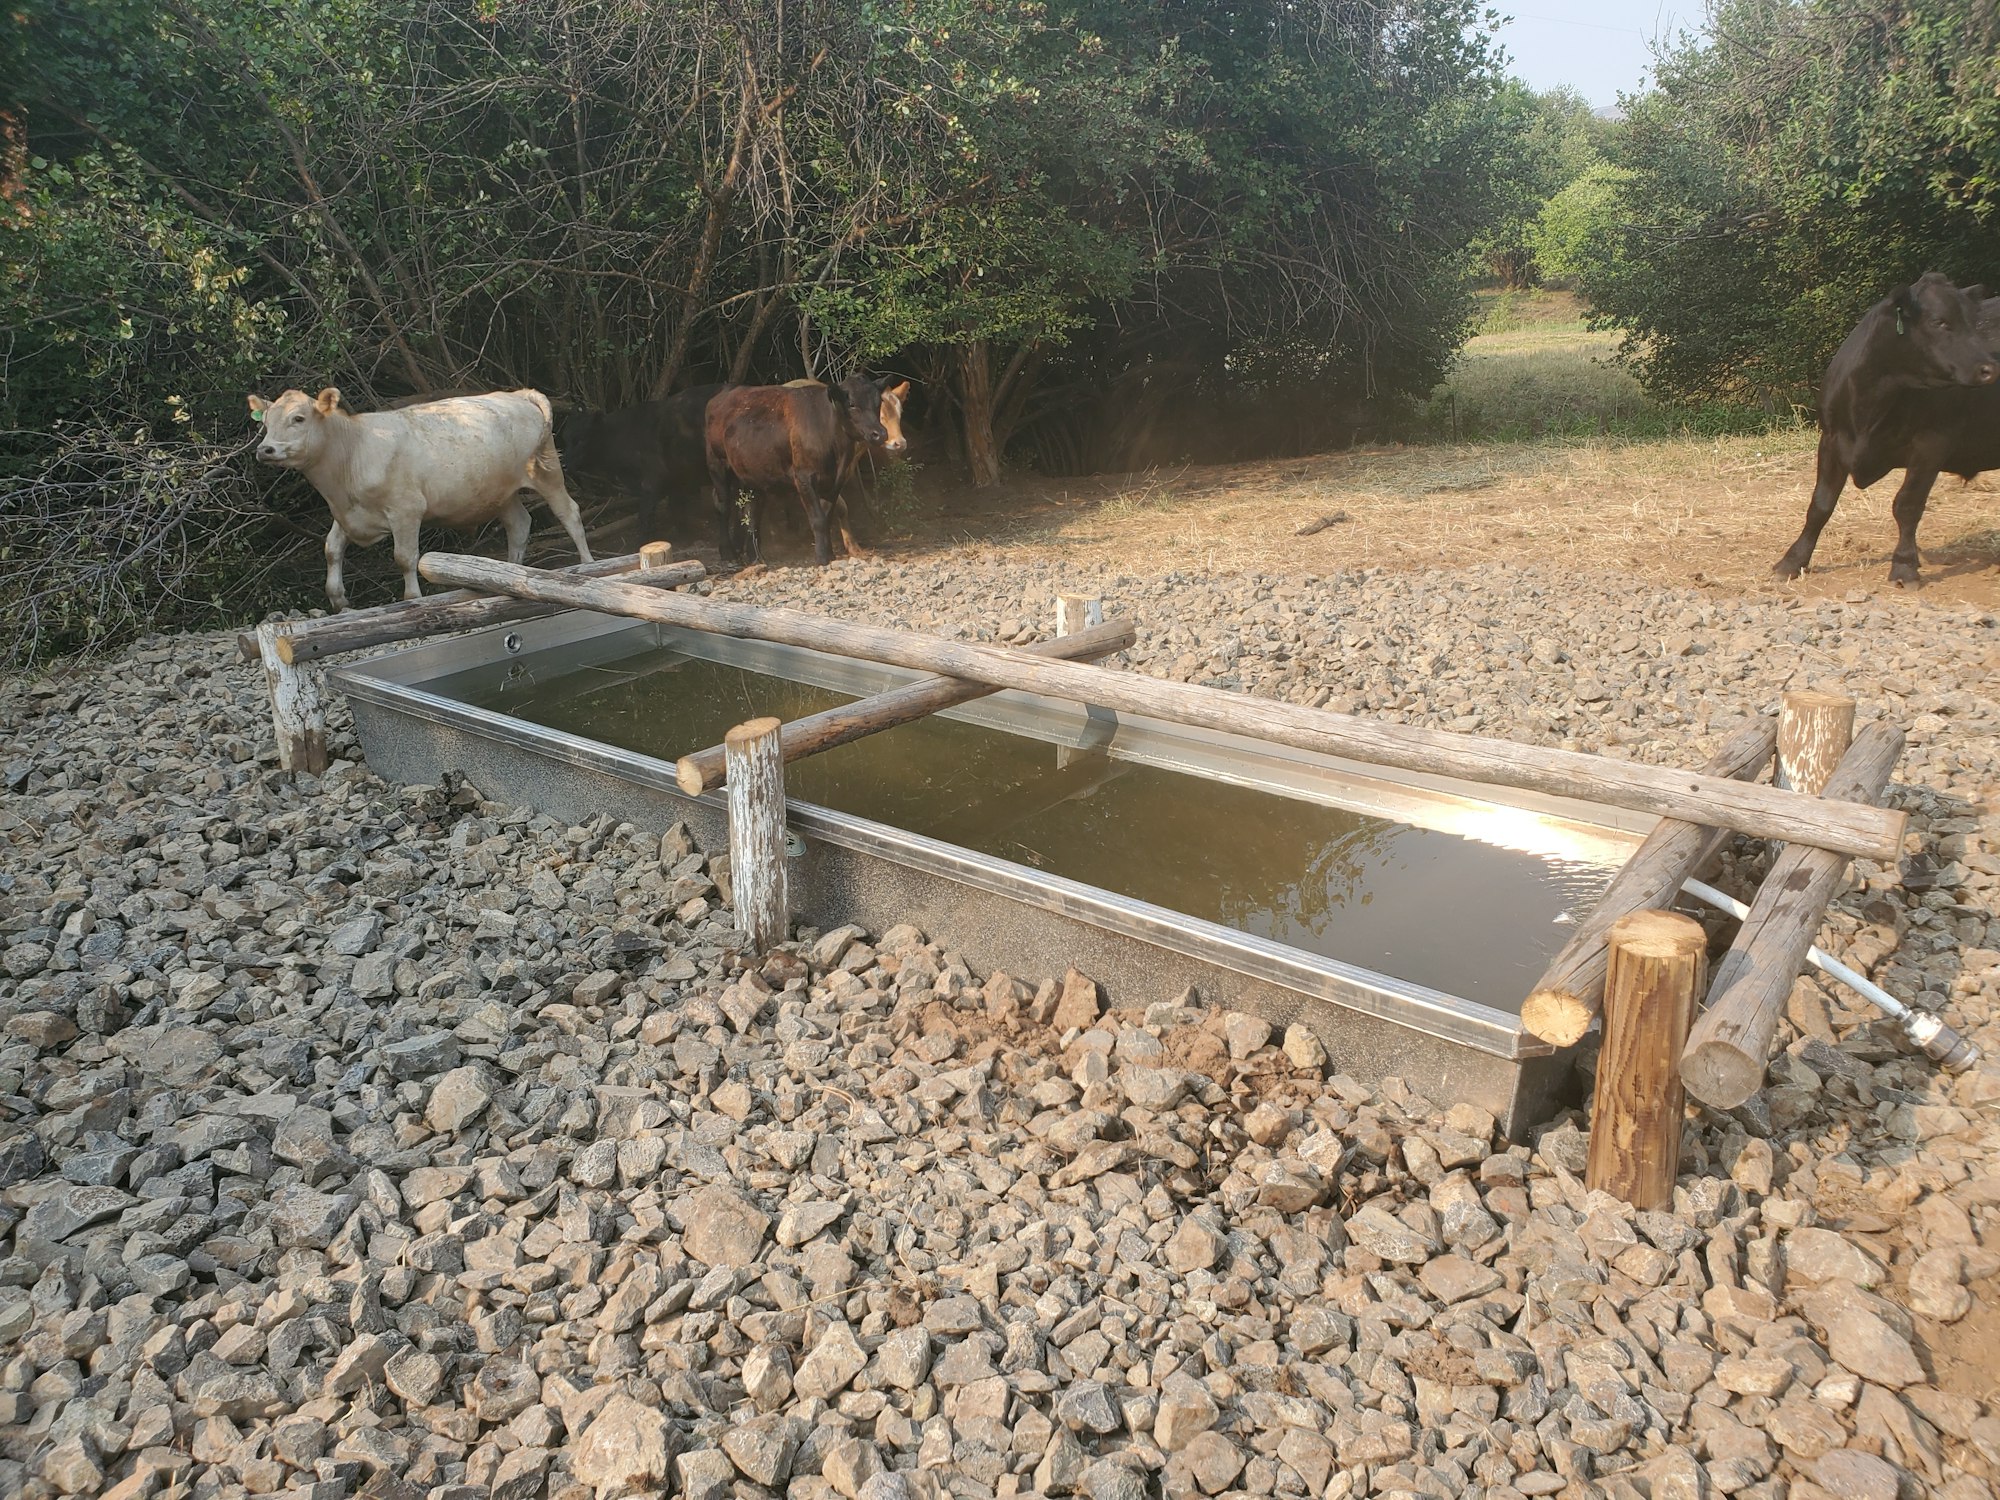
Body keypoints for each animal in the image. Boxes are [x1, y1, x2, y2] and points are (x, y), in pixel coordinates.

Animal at [248, 386, 592, 610]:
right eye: (265, 422)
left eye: (299, 418)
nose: (265, 449)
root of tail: (519, 393)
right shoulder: (346, 513)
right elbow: (331, 549)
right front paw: (338, 598)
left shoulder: (406, 509)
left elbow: (404, 557)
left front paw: (412, 598)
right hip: (500, 491)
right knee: (519, 525)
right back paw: (505, 575)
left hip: (545, 469)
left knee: (569, 513)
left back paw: (588, 565)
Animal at [558, 384, 724, 544]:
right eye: (565, 439)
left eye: (581, 440)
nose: (564, 465)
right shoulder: (675, 482)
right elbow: (677, 511)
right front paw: (685, 538)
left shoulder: (651, 483)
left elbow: (645, 517)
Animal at [705, 375, 893, 566]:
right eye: (852, 404)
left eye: (878, 402)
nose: (880, 434)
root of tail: (724, 393)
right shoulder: (804, 478)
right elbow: (818, 519)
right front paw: (822, 557)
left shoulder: (835, 481)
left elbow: (827, 516)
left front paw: (830, 555)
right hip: (717, 465)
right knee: (724, 506)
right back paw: (728, 553)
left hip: (753, 474)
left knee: (752, 510)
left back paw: (755, 557)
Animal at [1774, 272, 2000, 586]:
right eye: (1939, 322)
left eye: (1975, 321)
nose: (1989, 369)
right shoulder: (1831, 439)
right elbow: (1820, 504)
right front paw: (1792, 562)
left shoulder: (1932, 443)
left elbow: (1907, 504)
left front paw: (1904, 566)